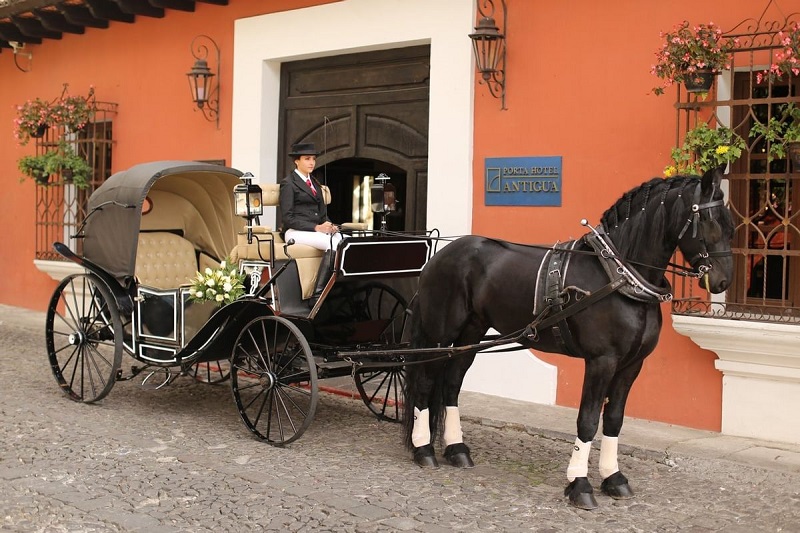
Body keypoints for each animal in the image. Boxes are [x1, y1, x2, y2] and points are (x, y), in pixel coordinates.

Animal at [404, 168, 736, 510]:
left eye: (731, 225)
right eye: (709, 221)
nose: (723, 280)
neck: (620, 276)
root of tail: (440, 255)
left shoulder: (632, 364)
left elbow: (614, 419)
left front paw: (613, 477)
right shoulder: (602, 360)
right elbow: (588, 420)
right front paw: (579, 483)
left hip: (472, 331)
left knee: (452, 383)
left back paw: (456, 448)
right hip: (440, 332)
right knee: (425, 382)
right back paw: (424, 448)